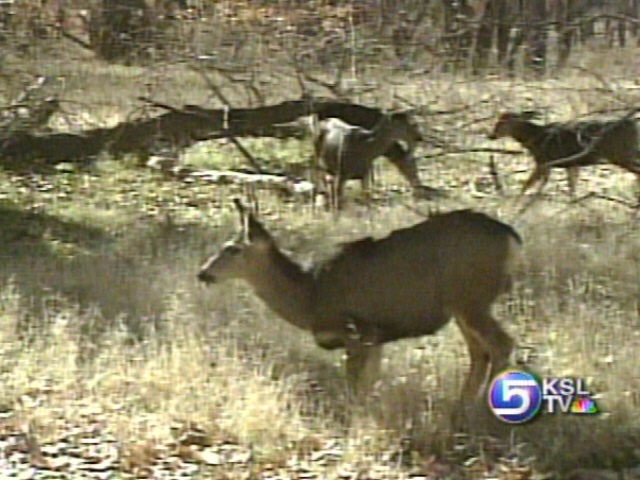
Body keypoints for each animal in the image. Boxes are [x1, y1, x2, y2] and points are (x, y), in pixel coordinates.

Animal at [197, 199, 523, 410]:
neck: (310, 295)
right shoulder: (374, 335)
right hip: (463, 306)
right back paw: (462, 407)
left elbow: (354, 386)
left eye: (233, 249)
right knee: (480, 352)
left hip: (471, 299)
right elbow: (369, 384)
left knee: (501, 344)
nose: (203, 272)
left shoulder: (355, 331)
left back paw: (485, 411)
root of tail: (511, 237)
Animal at [488, 111, 640, 200]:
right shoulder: (569, 164)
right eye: (497, 120)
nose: (492, 135)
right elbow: (571, 187)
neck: (535, 138)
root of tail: (633, 124)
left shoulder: (543, 161)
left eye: (504, 122)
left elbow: (529, 184)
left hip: (620, 154)